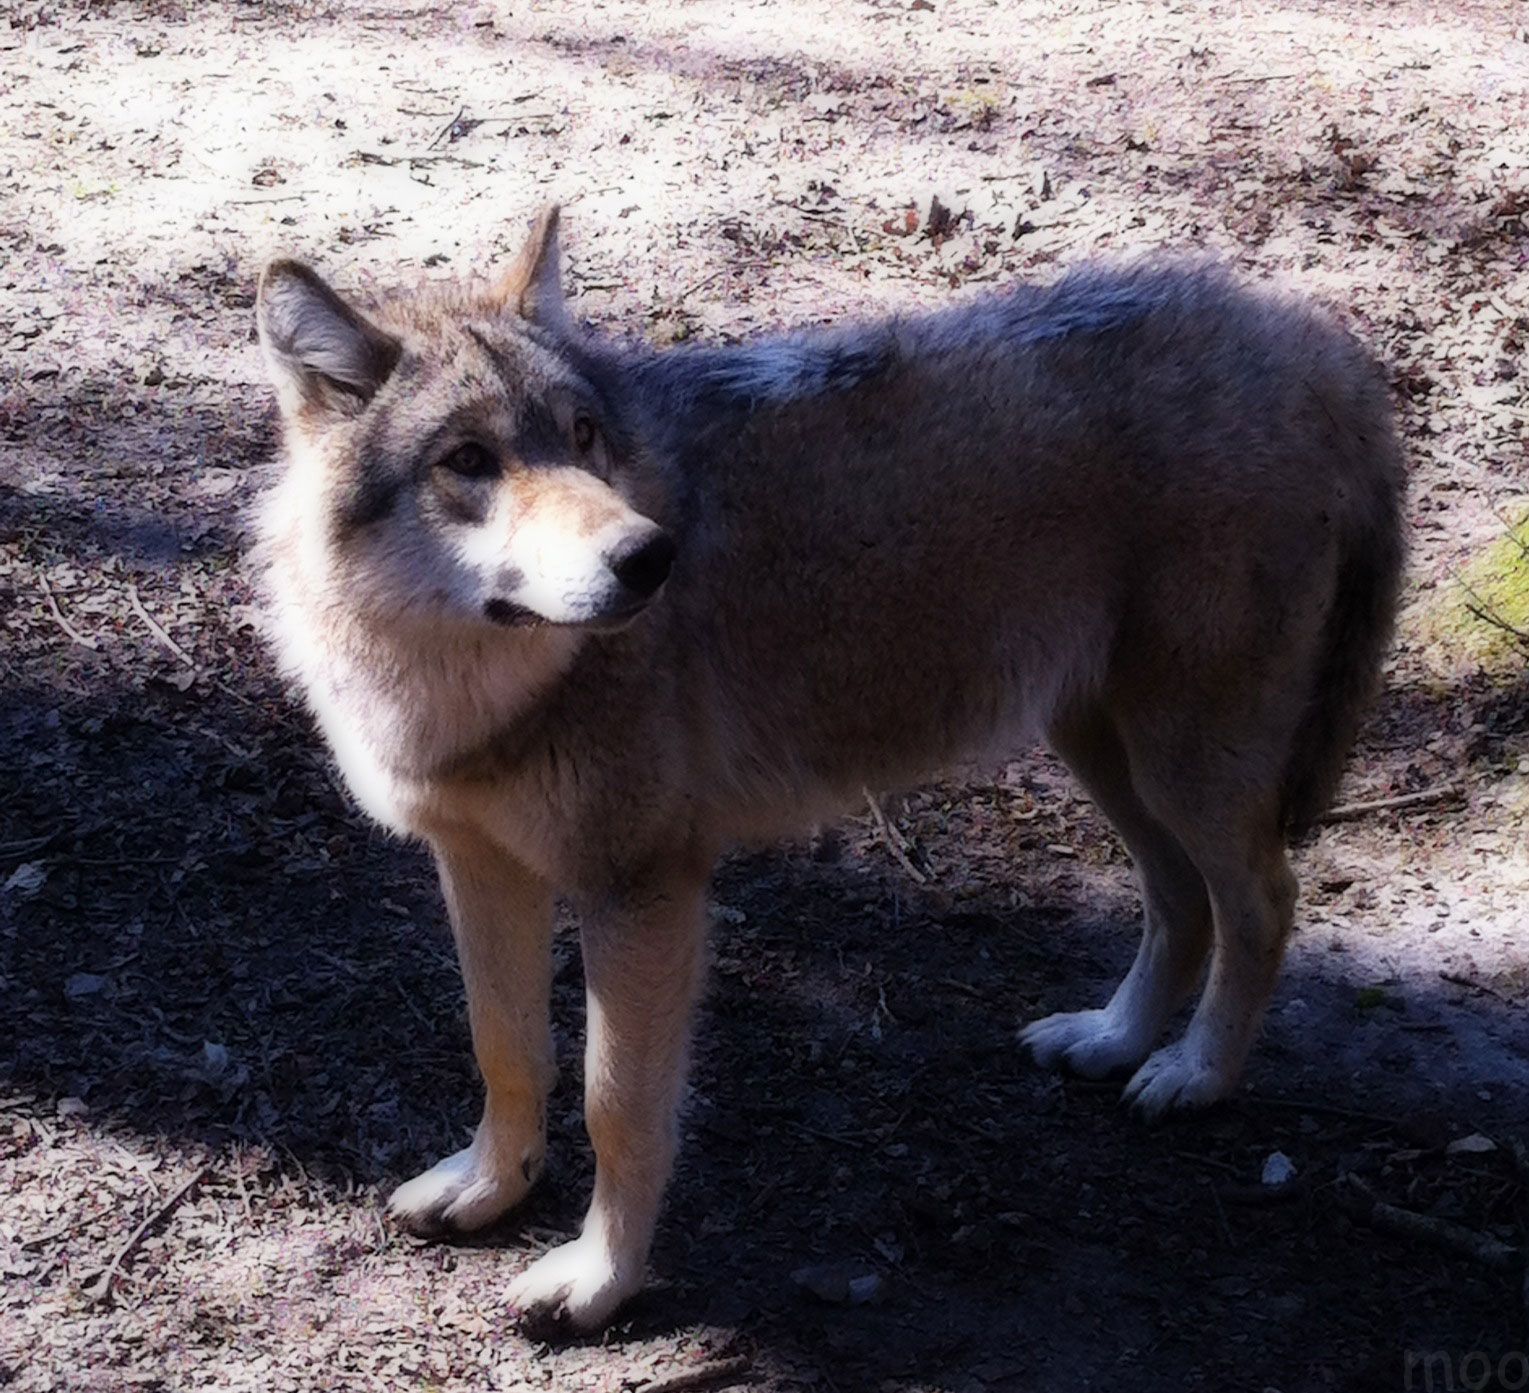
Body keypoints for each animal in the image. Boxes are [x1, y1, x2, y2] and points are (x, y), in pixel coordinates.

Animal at [253, 206, 1406, 1327]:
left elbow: (613, 1100)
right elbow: (502, 1045)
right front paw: (493, 1189)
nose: (648, 557)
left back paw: (1196, 1074)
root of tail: (1312, 341)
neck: (472, 685)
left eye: (582, 436)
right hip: (1101, 749)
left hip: (1178, 765)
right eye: (469, 461)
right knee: (1180, 901)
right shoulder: (479, 866)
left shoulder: (643, 889)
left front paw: (599, 1280)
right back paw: (1114, 1040)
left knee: (1262, 899)